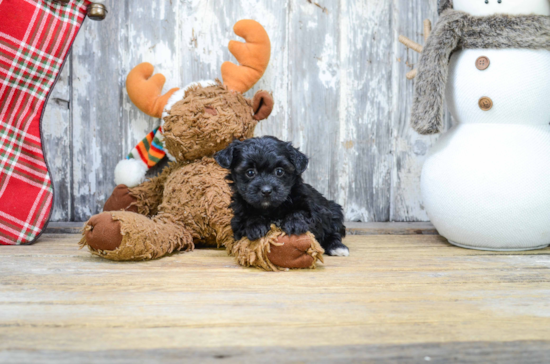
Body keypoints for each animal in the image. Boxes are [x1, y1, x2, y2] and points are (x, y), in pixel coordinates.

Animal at [216, 136, 350, 256]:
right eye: (250, 172)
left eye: (279, 171)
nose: (266, 190)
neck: (271, 209)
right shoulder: (238, 218)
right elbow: (247, 217)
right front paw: (256, 226)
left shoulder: (311, 207)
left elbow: (301, 211)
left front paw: (294, 223)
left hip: (333, 212)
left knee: (333, 232)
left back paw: (337, 247)